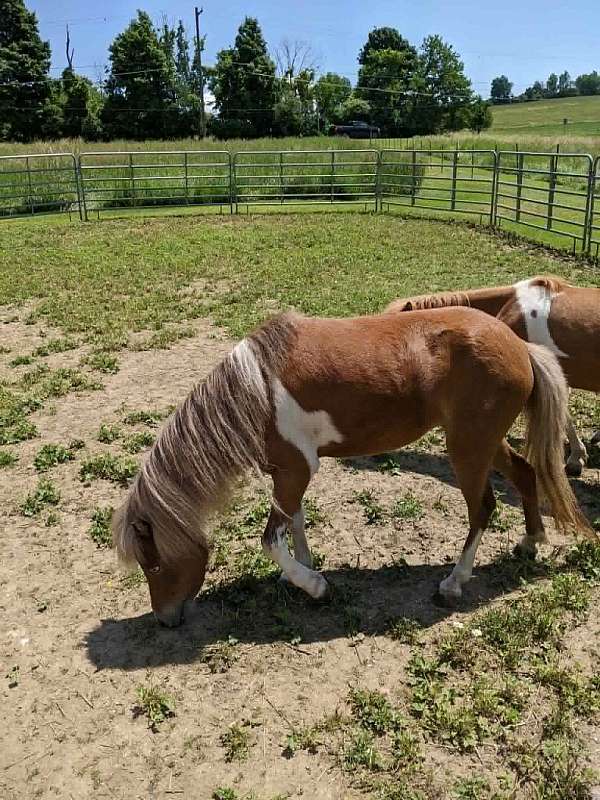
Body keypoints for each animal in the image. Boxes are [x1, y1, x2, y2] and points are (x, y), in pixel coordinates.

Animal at [113, 307, 592, 627]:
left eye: (153, 565)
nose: (165, 619)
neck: (255, 392)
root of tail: (520, 346)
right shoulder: (287, 474)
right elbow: (295, 523)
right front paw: (303, 571)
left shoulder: (296, 470)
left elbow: (270, 539)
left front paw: (313, 585)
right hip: (485, 443)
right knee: (525, 473)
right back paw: (530, 541)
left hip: (468, 449)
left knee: (483, 508)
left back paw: (455, 581)